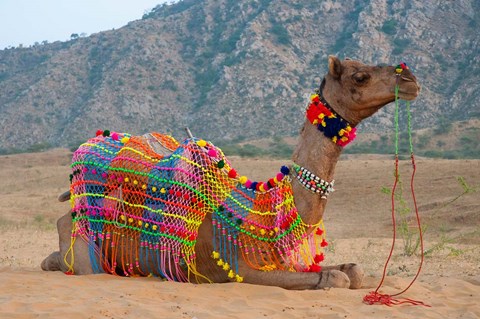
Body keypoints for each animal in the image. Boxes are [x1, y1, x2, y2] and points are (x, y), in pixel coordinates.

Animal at [43, 56, 422, 292]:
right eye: (360, 76)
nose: (410, 79)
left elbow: (354, 272)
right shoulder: (243, 268)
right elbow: (336, 279)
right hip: (85, 246)